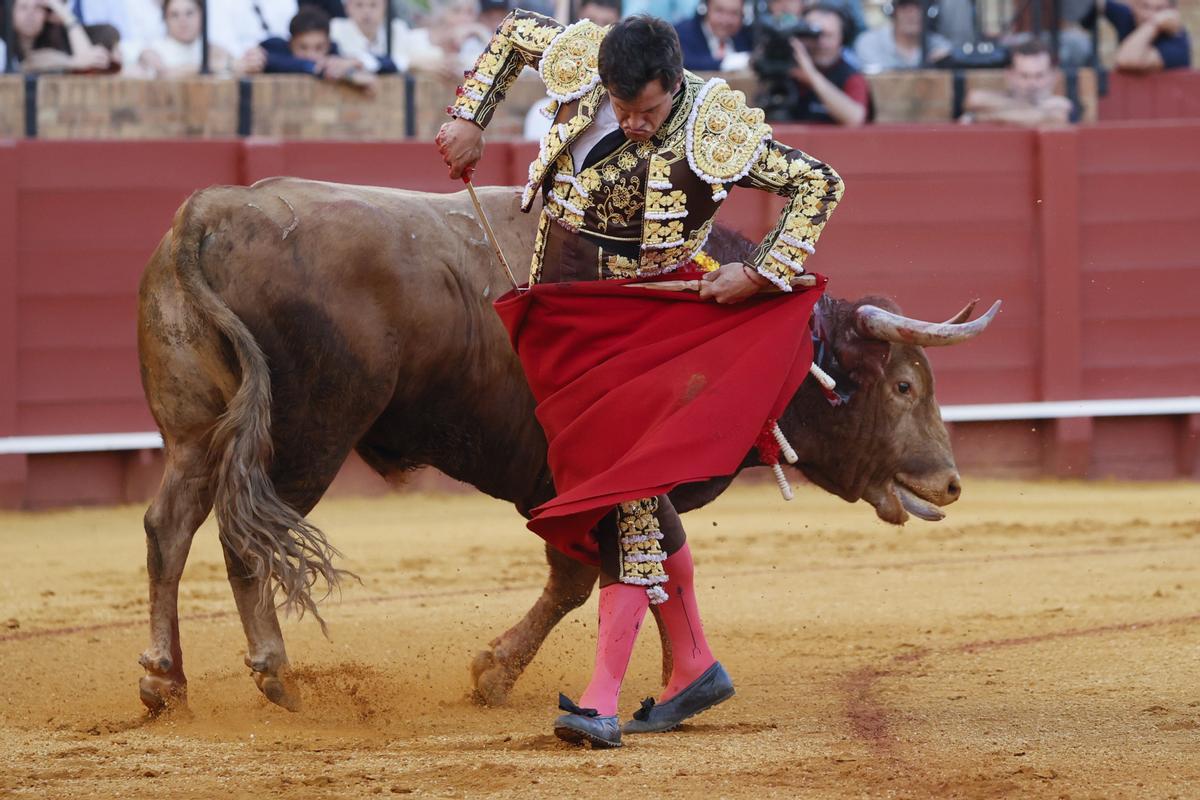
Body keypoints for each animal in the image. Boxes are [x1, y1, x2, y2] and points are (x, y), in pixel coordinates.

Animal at [136, 176, 998, 714]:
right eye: (904, 387)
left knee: (168, 528)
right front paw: (499, 673)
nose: (951, 482)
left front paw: (675, 678)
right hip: (304, 437)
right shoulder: (613, 479)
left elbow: (639, 573)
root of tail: (206, 216)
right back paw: (274, 672)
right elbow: (600, 575)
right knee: (243, 539)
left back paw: (165, 681)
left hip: (196, 432)